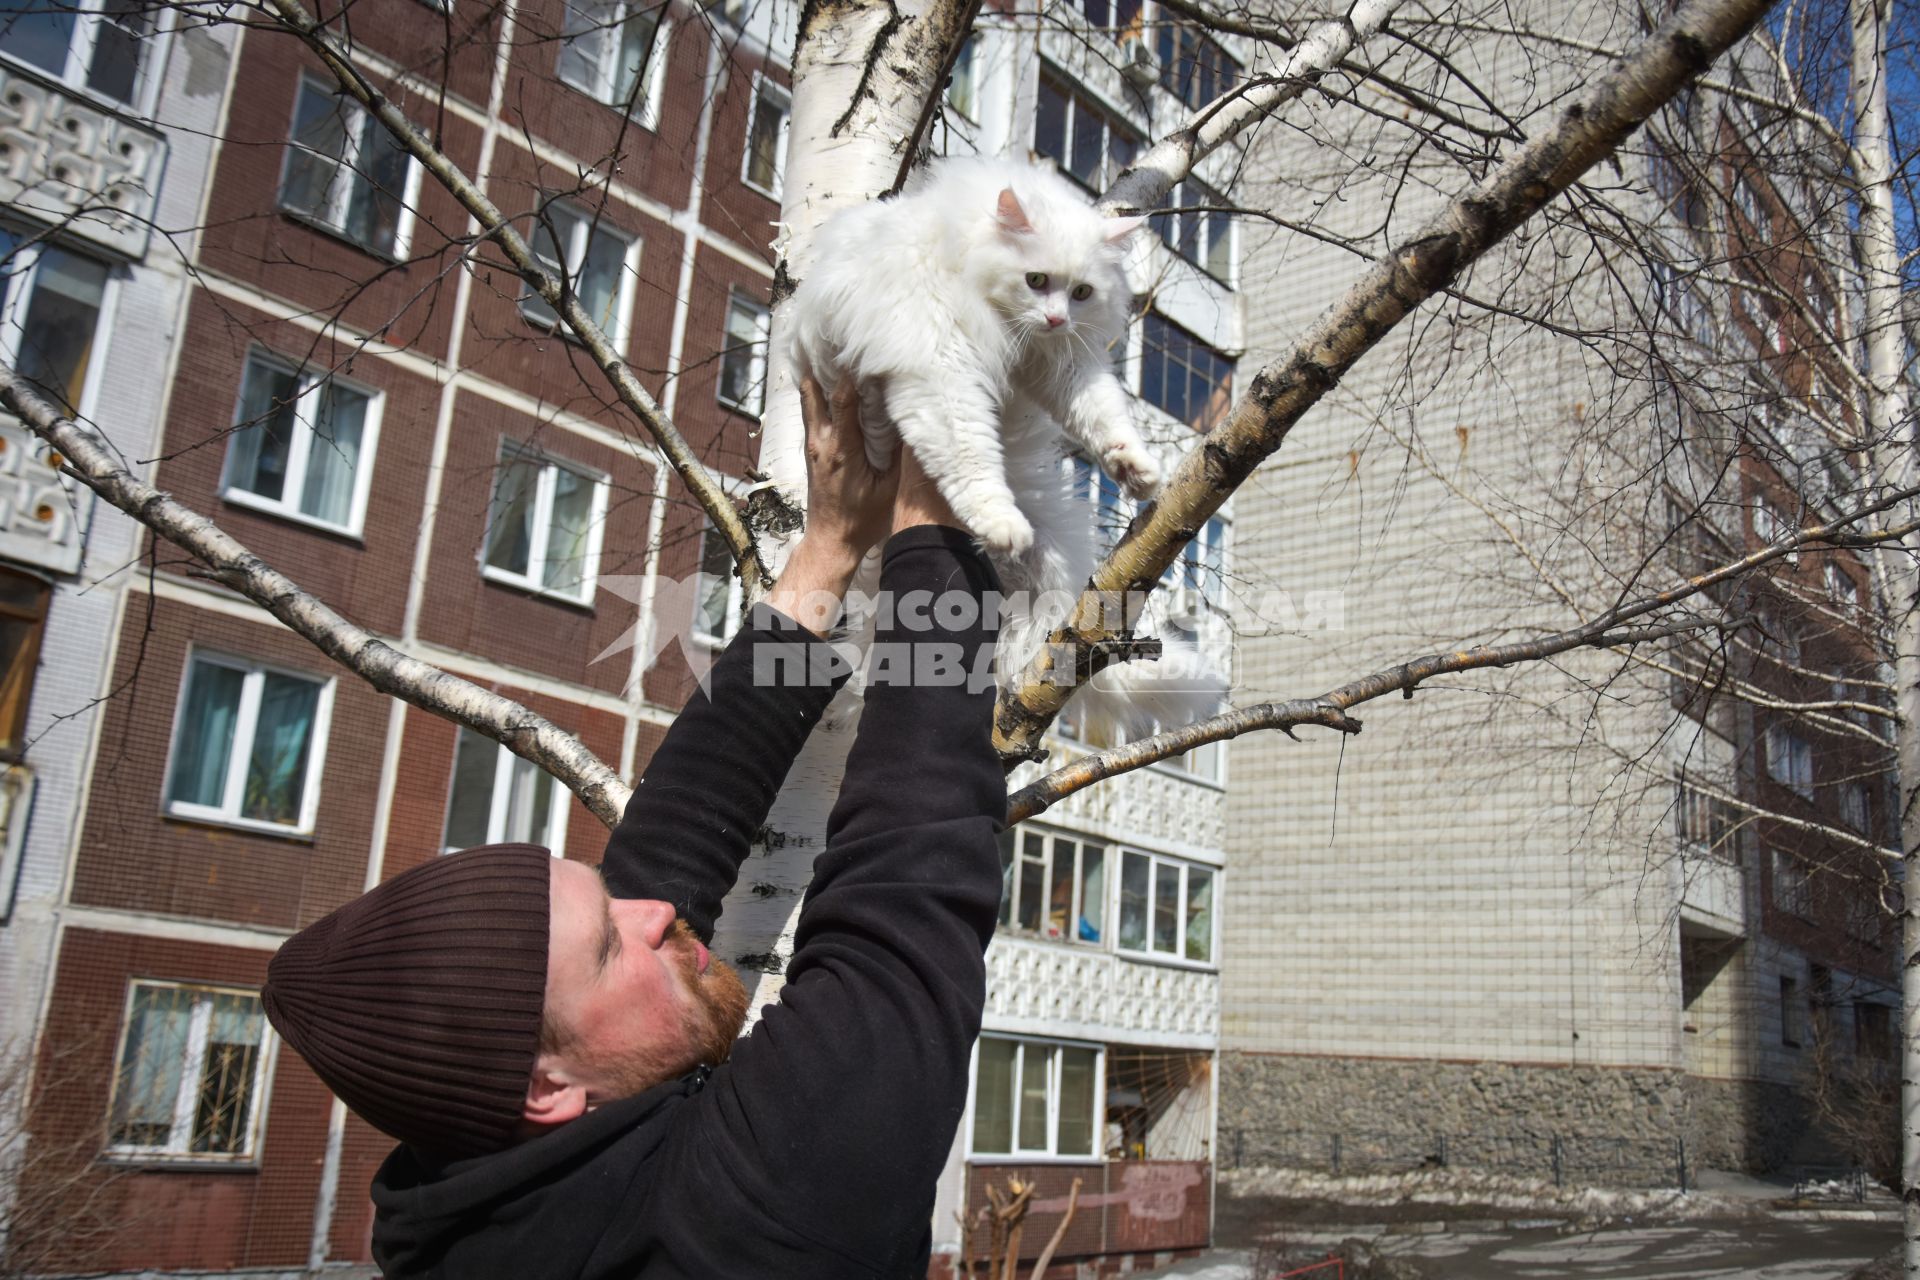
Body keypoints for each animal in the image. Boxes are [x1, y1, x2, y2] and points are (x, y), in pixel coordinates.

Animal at [783, 157, 1221, 740]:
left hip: (1046, 581)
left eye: (1081, 292)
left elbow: (1102, 414)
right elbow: (969, 454)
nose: (1057, 319)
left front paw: (1136, 469)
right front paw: (1000, 522)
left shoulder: (1062, 365)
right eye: (1036, 281)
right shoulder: (937, 367)